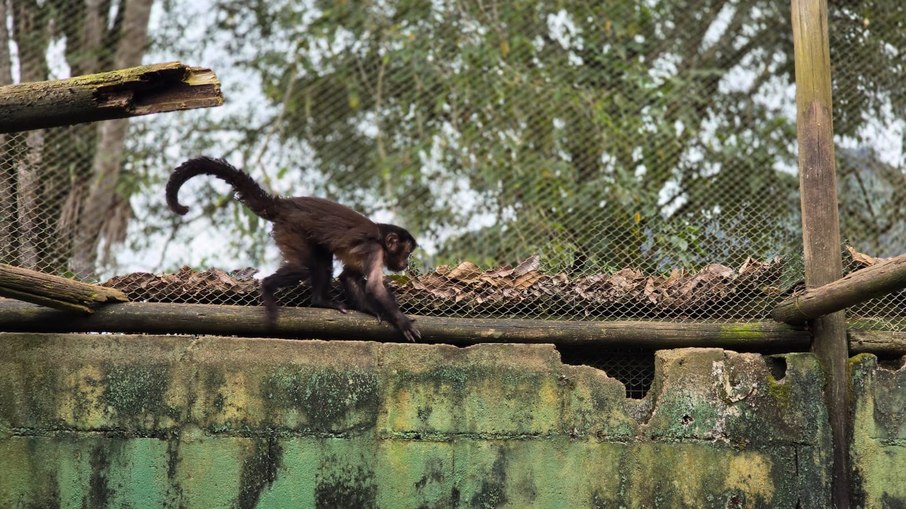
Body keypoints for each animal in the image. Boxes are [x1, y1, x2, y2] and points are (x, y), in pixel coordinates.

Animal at [165, 156, 421, 341]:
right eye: (406, 253)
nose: (406, 263)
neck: (380, 236)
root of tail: (284, 204)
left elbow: (349, 277)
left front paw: (373, 311)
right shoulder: (374, 250)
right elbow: (375, 286)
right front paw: (401, 321)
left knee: (321, 262)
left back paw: (320, 300)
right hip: (290, 229)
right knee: (302, 268)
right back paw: (268, 287)